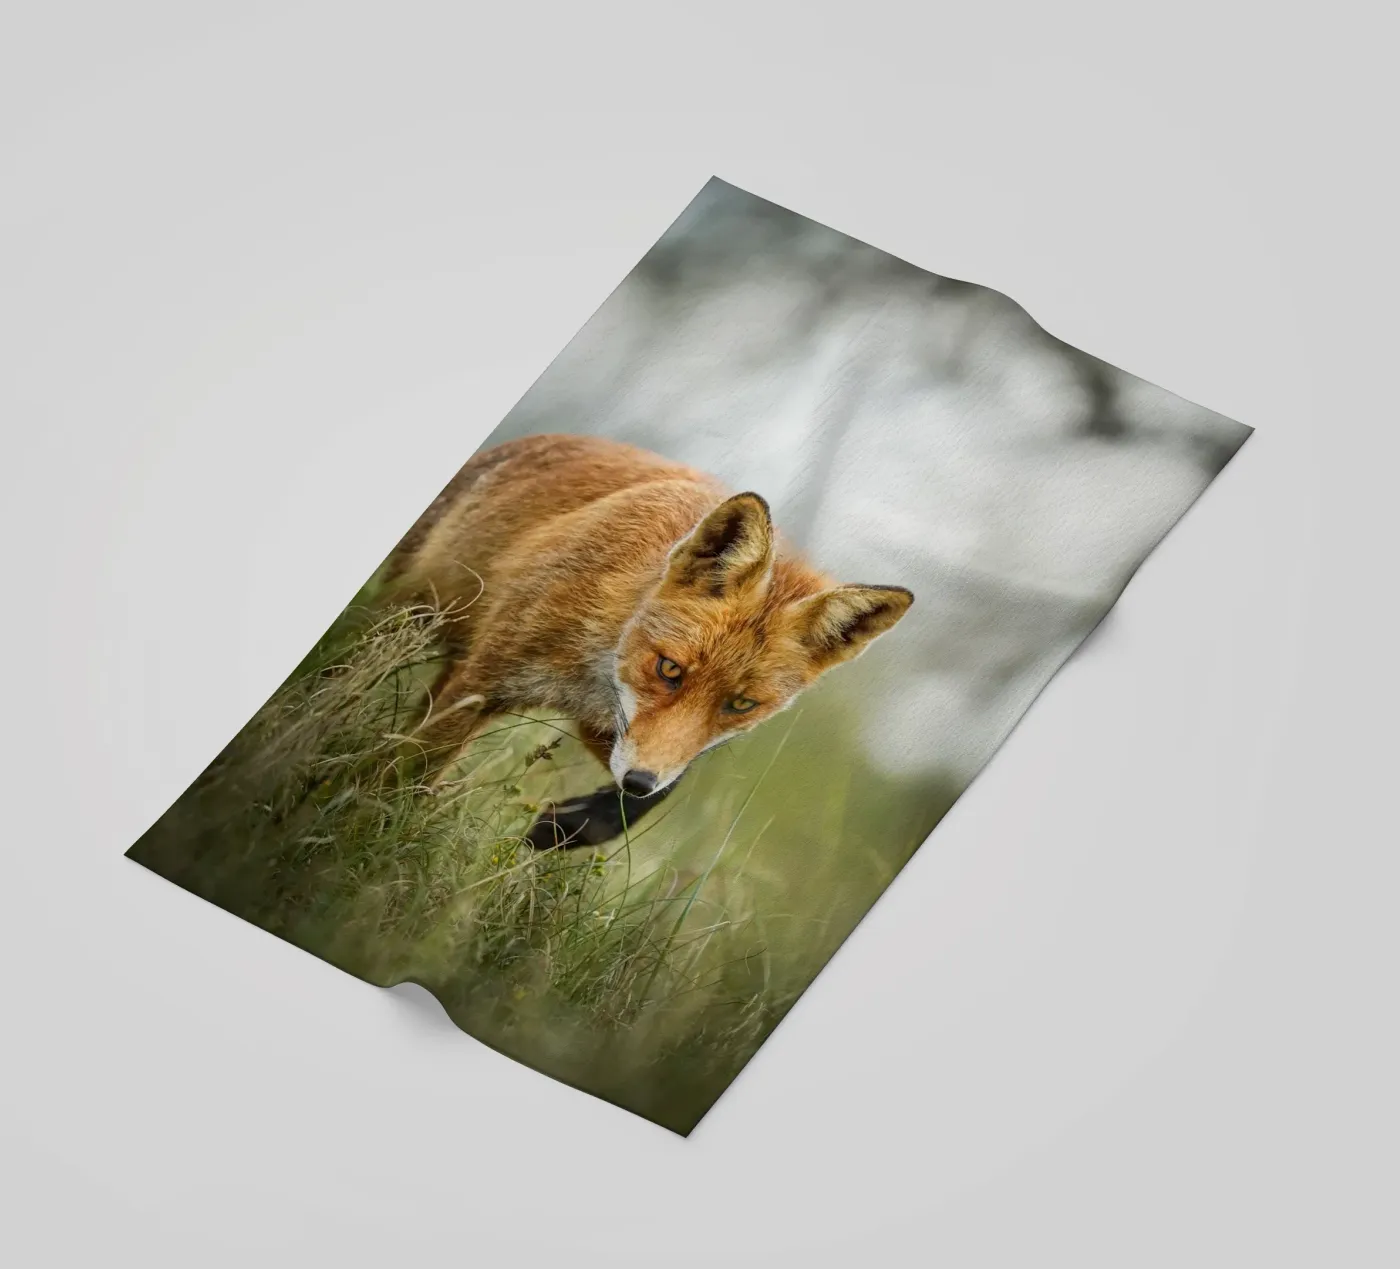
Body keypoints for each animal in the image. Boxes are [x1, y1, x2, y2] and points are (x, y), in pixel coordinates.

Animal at [384, 433, 913, 849]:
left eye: (741, 705)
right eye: (669, 669)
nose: (638, 782)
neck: (597, 667)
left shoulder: (617, 732)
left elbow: (661, 793)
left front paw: (564, 829)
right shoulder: (485, 684)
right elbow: (412, 769)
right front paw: (383, 835)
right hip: (406, 615)